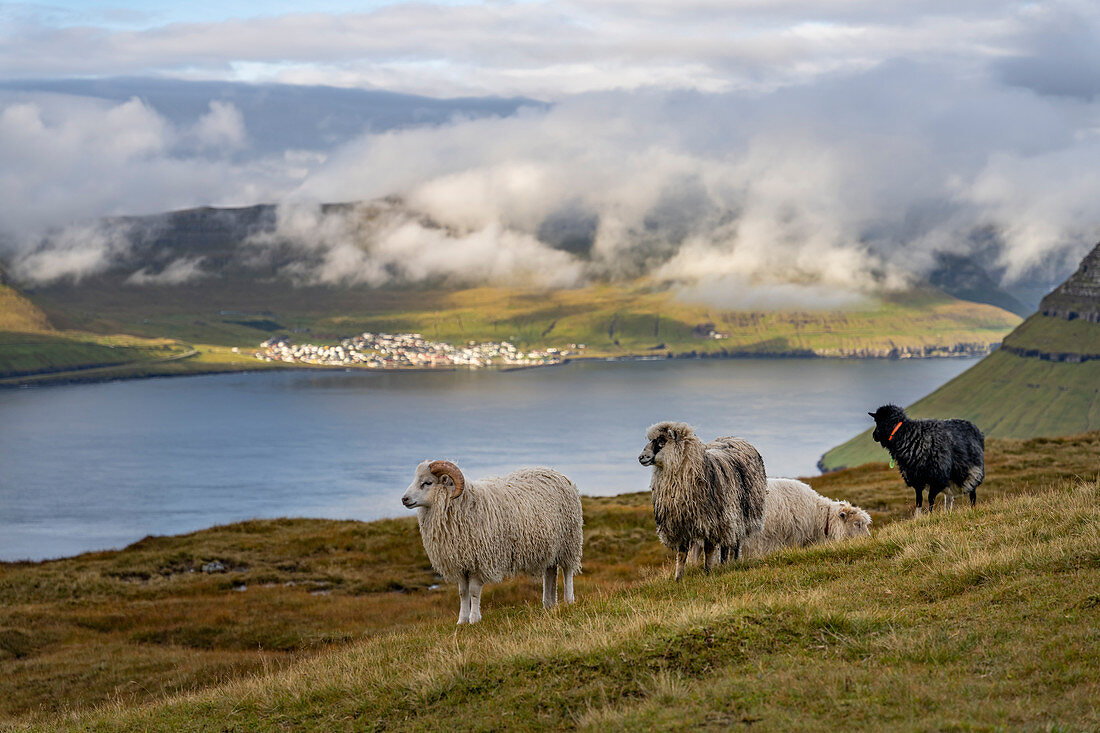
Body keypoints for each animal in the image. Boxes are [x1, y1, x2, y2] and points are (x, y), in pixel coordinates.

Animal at [402, 457, 585, 620]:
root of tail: (555, 472)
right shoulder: (461, 562)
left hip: (569, 541)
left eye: (427, 482)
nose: (404, 499)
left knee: (567, 571)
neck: (463, 506)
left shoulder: (480, 561)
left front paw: (474, 619)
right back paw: (548, 604)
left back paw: (569, 601)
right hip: (550, 547)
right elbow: (462, 593)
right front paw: (462, 620)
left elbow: (474, 591)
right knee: (550, 572)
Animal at [638, 420, 765, 581]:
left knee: (733, 544)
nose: (641, 457)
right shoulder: (680, 525)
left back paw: (730, 563)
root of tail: (735, 438)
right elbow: (682, 554)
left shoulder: (711, 523)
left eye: (661, 441)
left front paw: (708, 573)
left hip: (736, 517)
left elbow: (709, 550)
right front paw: (678, 579)